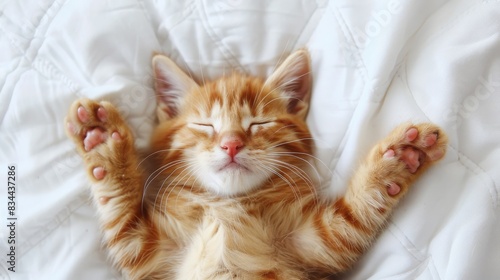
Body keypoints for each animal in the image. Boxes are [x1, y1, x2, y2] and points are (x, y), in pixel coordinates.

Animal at [64, 49, 448, 278]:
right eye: (206, 125)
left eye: (258, 124)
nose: (231, 143)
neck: (228, 206)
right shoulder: (146, 255)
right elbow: (120, 212)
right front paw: (103, 145)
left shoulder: (319, 244)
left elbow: (357, 212)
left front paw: (401, 158)